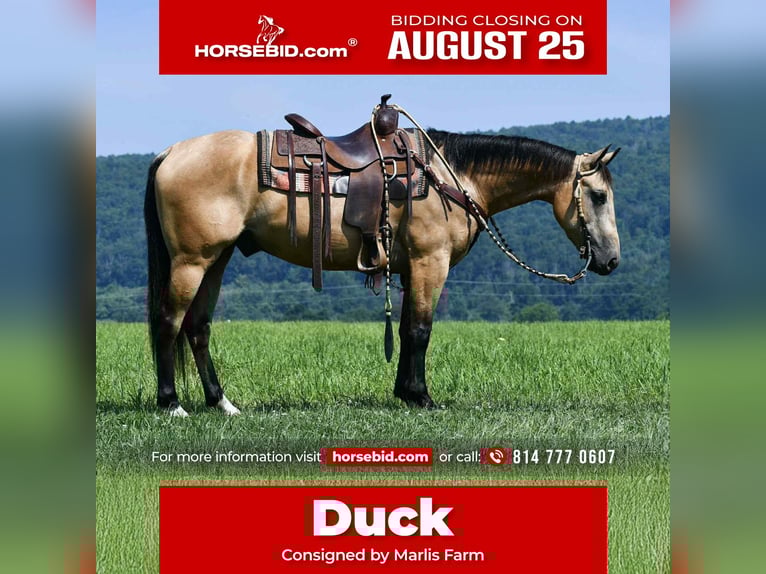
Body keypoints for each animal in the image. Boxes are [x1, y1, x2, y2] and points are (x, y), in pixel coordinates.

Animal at [143, 120, 621, 417]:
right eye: (598, 196)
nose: (611, 260)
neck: (452, 177)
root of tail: (171, 152)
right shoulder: (431, 263)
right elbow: (420, 330)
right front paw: (423, 398)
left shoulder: (411, 269)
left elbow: (408, 328)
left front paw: (405, 393)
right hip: (192, 261)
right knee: (168, 322)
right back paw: (172, 403)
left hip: (216, 259)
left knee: (198, 327)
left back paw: (221, 403)